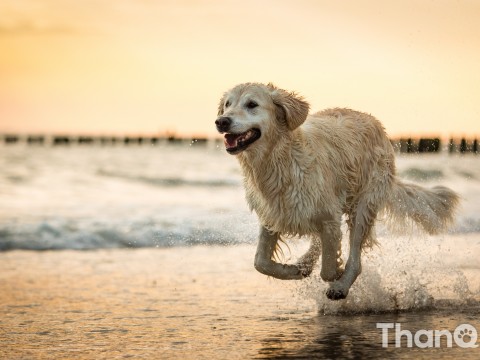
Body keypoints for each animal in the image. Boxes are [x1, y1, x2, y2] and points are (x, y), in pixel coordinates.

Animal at [216, 83, 460, 300]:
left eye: (252, 104)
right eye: (227, 104)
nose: (221, 121)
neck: (279, 160)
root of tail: (374, 121)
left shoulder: (328, 218)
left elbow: (328, 269)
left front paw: (336, 276)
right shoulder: (274, 214)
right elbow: (260, 262)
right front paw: (293, 270)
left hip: (364, 205)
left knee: (356, 257)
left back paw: (341, 286)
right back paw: (305, 263)